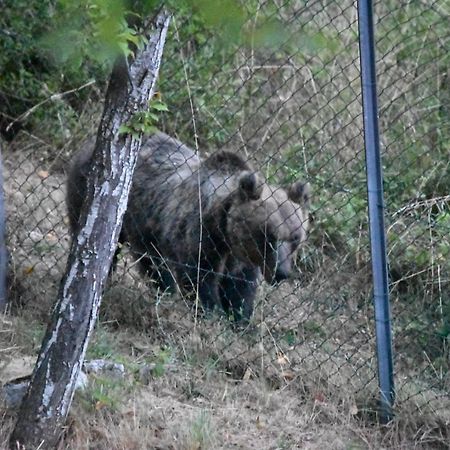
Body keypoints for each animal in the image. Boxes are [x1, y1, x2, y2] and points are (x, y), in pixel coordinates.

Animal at [67, 132, 310, 322]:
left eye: (295, 238)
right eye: (269, 235)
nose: (281, 272)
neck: (225, 232)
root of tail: (90, 142)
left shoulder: (242, 260)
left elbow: (240, 289)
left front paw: (240, 320)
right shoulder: (200, 235)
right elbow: (200, 280)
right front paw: (211, 313)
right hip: (95, 197)